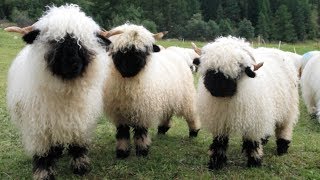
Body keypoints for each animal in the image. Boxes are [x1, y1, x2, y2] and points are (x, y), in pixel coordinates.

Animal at [5, 4, 114, 179]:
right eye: (55, 41)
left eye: (82, 43)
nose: (73, 64)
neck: (65, 91)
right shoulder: (39, 127)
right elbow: (42, 153)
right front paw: (43, 172)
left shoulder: (79, 121)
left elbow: (77, 145)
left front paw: (80, 166)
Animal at [103, 23, 200, 158]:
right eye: (122, 50)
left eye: (144, 50)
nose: (132, 65)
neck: (129, 83)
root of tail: (176, 53)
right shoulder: (119, 112)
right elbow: (122, 133)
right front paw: (122, 152)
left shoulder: (143, 110)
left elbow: (141, 132)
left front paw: (142, 151)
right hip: (167, 97)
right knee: (167, 113)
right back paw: (162, 130)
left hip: (186, 96)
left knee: (191, 114)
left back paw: (194, 132)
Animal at [192, 37, 300, 170]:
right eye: (209, 69)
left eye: (239, 69)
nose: (217, 88)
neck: (228, 99)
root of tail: (275, 49)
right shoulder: (220, 121)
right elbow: (219, 143)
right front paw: (216, 163)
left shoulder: (253, 121)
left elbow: (252, 143)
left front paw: (254, 162)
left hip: (288, 108)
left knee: (284, 128)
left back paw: (282, 148)